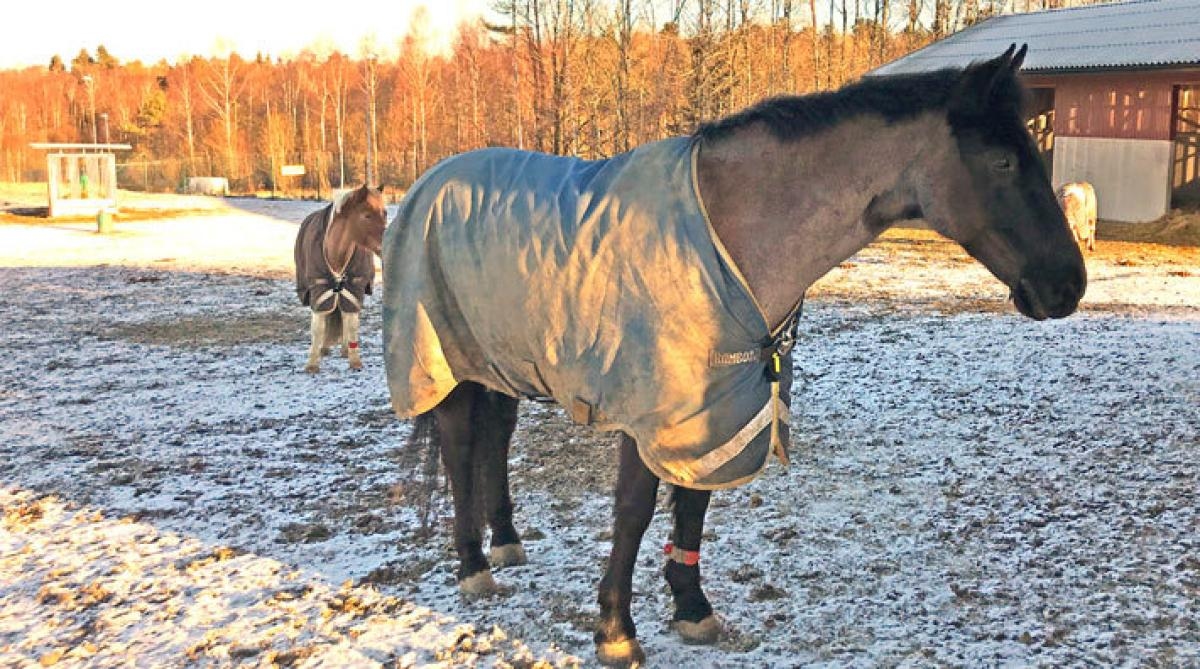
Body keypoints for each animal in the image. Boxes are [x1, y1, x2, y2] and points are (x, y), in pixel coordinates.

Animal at [381, 45, 1089, 666]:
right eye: (1002, 161)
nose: (1068, 286)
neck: (730, 230)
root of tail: (428, 180)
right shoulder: (651, 407)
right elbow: (634, 511)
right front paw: (616, 629)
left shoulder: (718, 405)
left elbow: (694, 502)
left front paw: (692, 608)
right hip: (444, 361)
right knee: (459, 446)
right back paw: (473, 566)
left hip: (496, 357)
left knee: (495, 438)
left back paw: (505, 543)